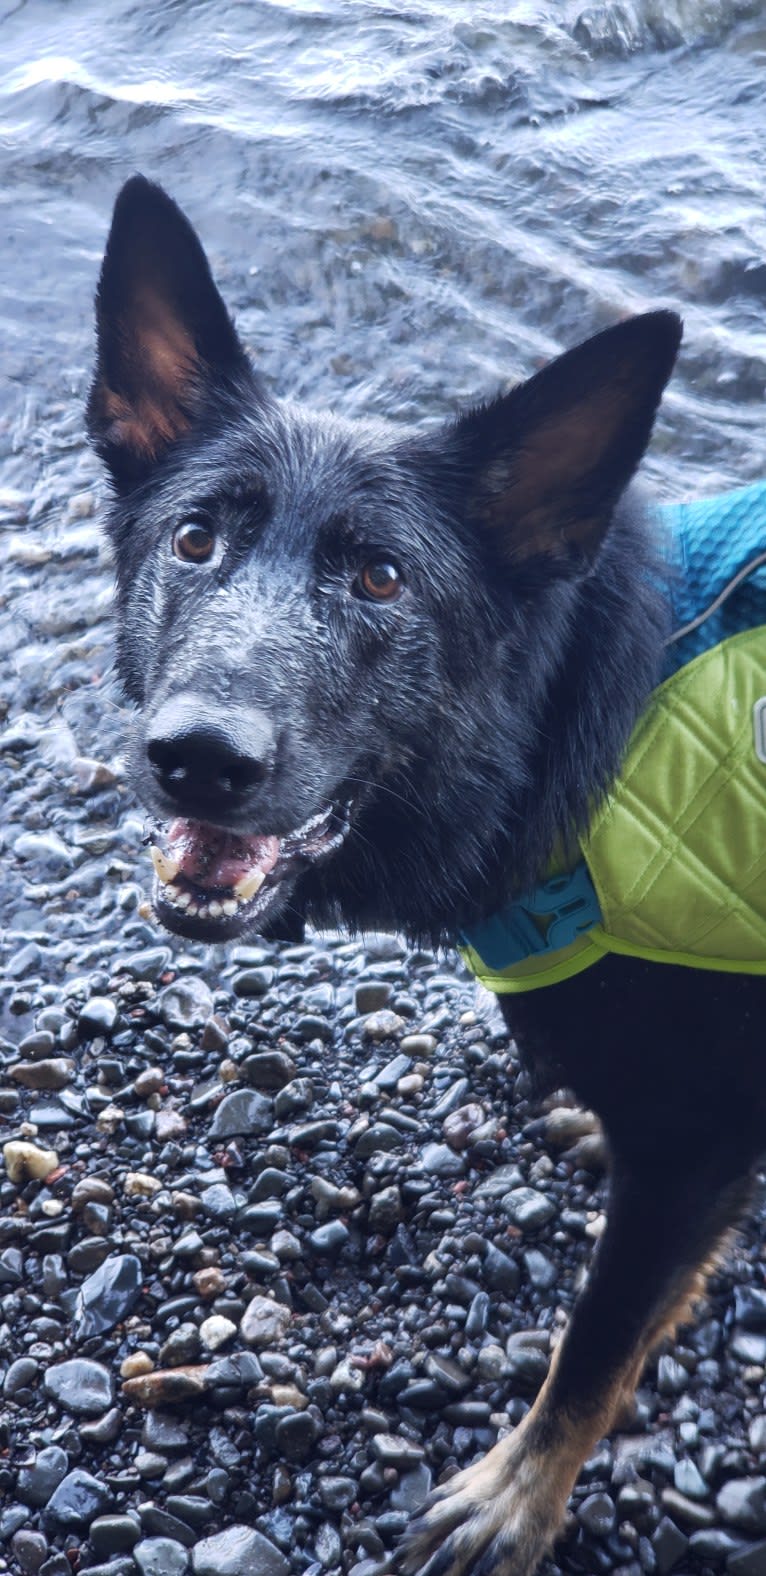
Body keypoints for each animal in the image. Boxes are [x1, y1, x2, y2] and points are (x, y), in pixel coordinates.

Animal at [86, 172, 762, 1576]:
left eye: (381, 577)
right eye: (194, 541)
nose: (196, 760)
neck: (573, 736)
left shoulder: (698, 1148)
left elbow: (593, 1345)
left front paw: (522, 1489)